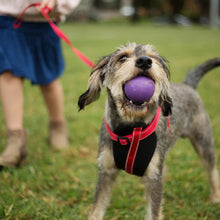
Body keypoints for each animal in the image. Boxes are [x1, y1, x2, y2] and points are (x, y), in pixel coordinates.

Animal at [78, 43, 220, 220]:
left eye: (152, 57)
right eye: (122, 58)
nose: (145, 61)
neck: (131, 129)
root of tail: (188, 85)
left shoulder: (154, 177)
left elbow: (154, 212)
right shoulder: (106, 171)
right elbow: (97, 209)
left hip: (204, 141)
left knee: (212, 169)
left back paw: (215, 197)